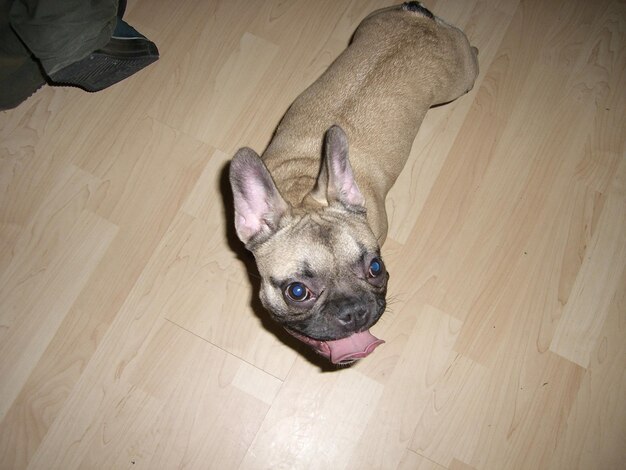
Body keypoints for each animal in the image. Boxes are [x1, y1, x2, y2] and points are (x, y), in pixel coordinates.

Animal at [229, 1, 478, 366]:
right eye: (297, 291)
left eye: (376, 266)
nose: (354, 310)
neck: (301, 189)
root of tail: (419, 15)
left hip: (459, 79)